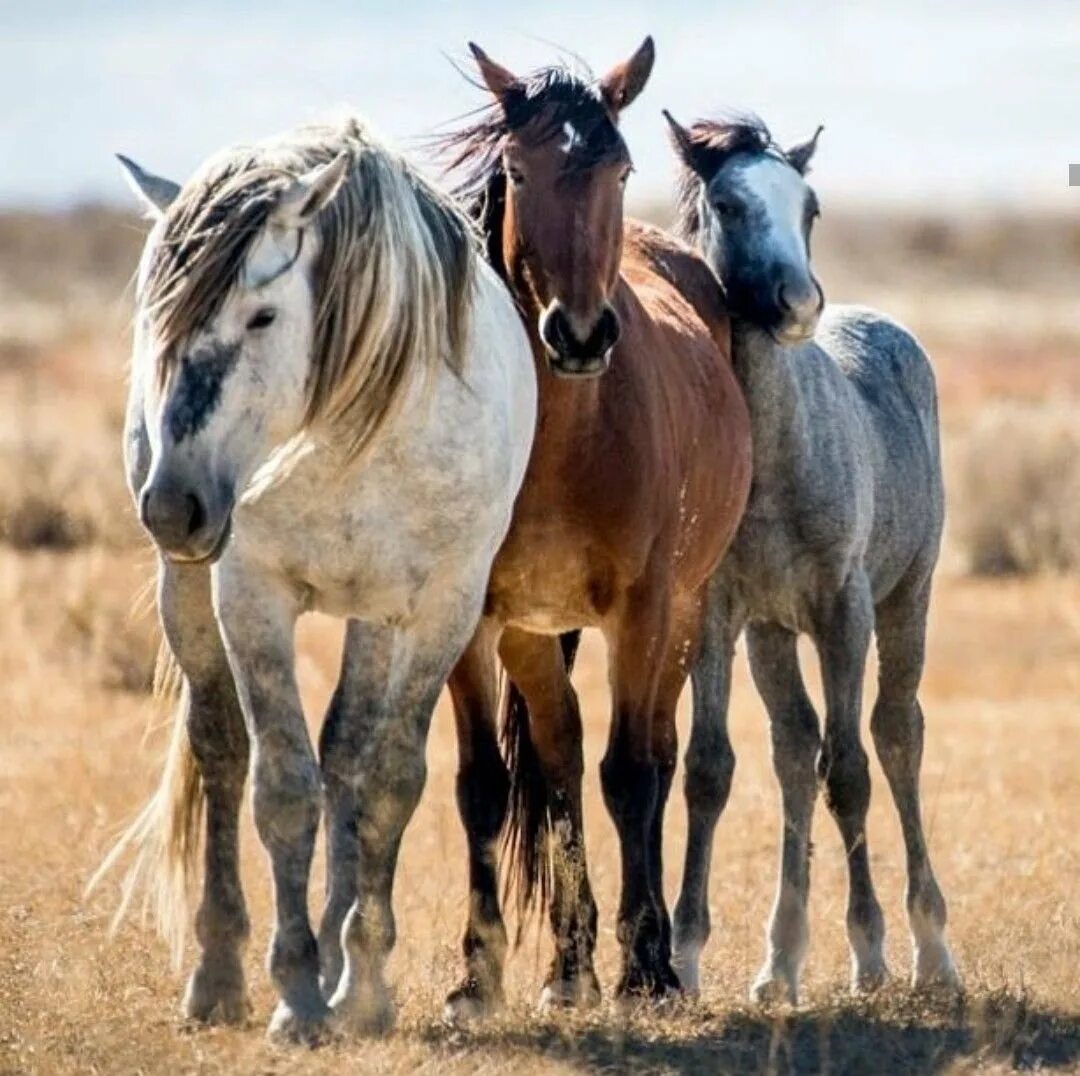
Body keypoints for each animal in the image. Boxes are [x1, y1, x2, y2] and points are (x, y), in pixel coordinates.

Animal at [90, 117, 537, 1041]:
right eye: (158, 318)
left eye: (262, 314)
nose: (174, 507)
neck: (347, 434)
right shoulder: (251, 596)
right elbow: (282, 788)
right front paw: (295, 993)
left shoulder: (442, 608)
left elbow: (386, 781)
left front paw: (359, 987)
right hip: (188, 594)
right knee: (221, 750)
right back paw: (220, 976)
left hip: (372, 616)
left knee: (349, 755)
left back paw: (337, 958)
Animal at [434, 42, 756, 1015]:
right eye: (516, 170)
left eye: (619, 169)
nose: (578, 335)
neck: (561, 444)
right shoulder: (475, 621)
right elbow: (486, 785)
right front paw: (477, 974)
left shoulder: (643, 610)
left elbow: (633, 774)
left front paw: (648, 966)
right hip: (535, 636)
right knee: (560, 759)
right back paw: (569, 967)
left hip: (685, 614)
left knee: (651, 755)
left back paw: (645, 954)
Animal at [660, 113, 959, 1002]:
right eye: (728, 203)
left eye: (811, 206)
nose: (798, 303)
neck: (771, 457)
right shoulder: (717, 614)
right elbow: (711, 768)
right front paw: (687, 955)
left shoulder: (843, 608)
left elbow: (851, 767)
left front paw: (870, 951)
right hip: (771, 635)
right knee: (793, 752)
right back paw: (780, 961)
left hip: (908, 599)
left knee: (895, 735)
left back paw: (931, 949)